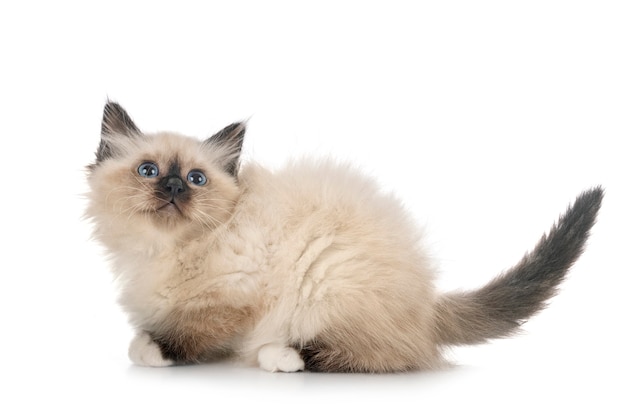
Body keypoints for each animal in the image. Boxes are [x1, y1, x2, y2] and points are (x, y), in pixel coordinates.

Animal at [85, 102, 604, 374]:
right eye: (149, 171)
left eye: (196, 179)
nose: (174, 188)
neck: (162, 249)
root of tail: (430, 301)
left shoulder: (232, 297)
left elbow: (190, 331)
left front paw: (151, 348)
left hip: (328, 280)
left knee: (385, 355)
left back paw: (284, 355)